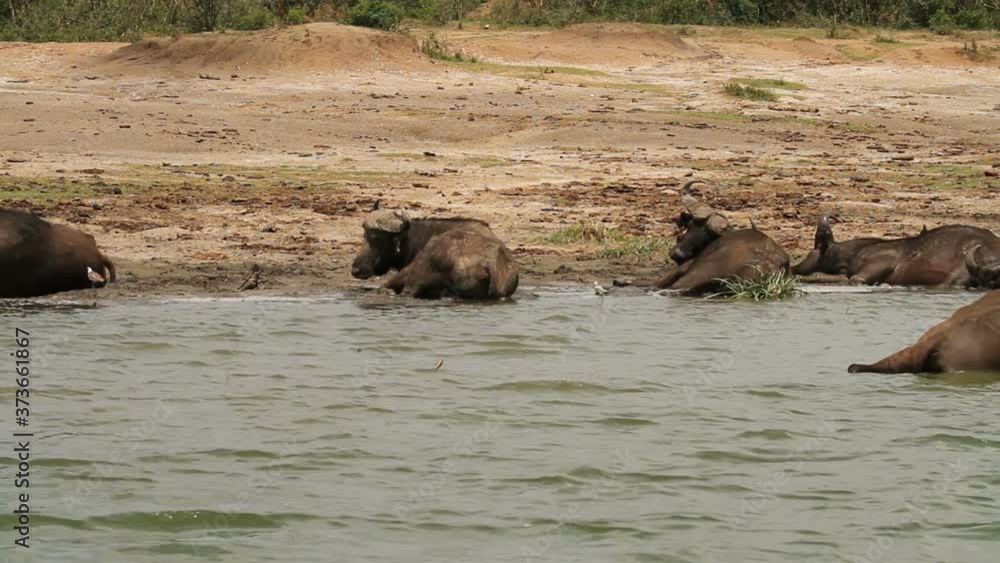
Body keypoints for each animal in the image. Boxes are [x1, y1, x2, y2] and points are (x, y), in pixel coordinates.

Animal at [350, 209, 519, 300]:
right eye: (364, 235)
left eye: (376, 238)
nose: (356, 270)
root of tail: (493, 263)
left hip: (419, 271)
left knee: (406, 291)